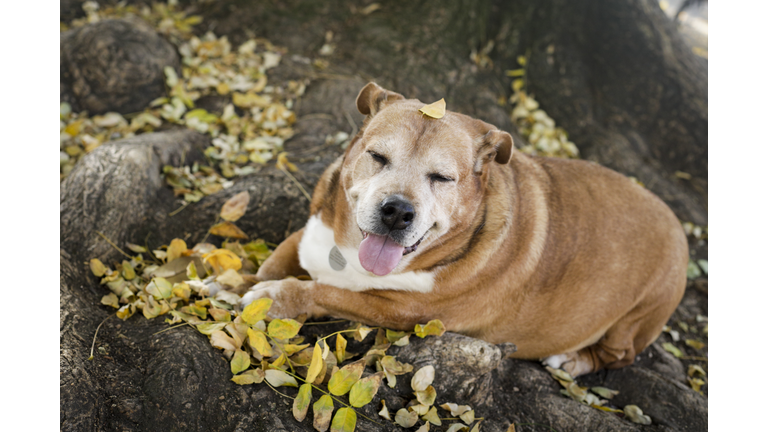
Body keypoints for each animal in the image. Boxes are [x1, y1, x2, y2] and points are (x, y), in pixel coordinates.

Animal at [243, 82, 688, 376]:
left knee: (620, 355)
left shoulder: (398, 311)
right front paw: (243, 279)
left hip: (639, 314)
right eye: (377, 156)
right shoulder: (310, 230)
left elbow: (325, 291)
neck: (347, 250)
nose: (397, 211)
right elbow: (277, 258)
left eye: (441, 178)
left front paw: (274, 297)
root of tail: (676, 221)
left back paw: (572, 360)